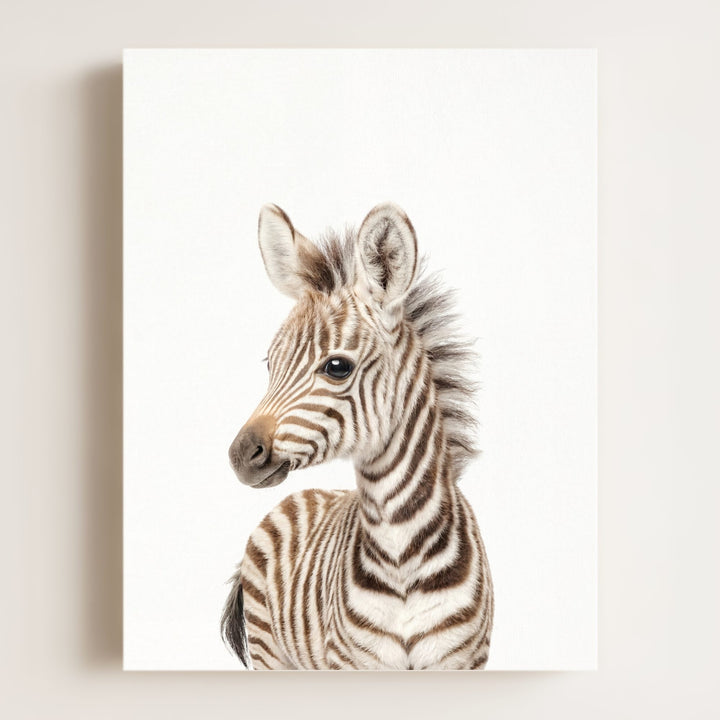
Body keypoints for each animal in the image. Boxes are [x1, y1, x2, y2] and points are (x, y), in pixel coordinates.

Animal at [222, 202, 493, 670]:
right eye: (270, 363)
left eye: (337, 367)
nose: (240, 454)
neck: (401, 552)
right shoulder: (353, 662)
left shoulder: (462, 661)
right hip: (270, 651)